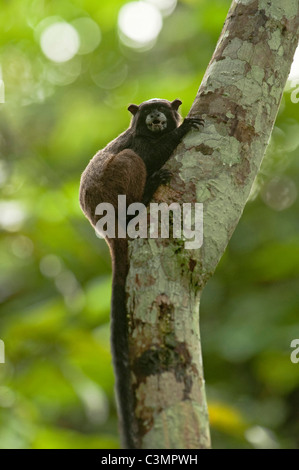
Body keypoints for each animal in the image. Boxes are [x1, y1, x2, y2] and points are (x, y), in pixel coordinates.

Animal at [79, 99, 204, 448]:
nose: (157, 117)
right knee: (129, 161)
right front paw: (182, 129)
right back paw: (142, 198)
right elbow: (146, 154)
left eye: (161, 108)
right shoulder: (139, 143)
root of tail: (105, 227)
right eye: (148, 112)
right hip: (110, 191)